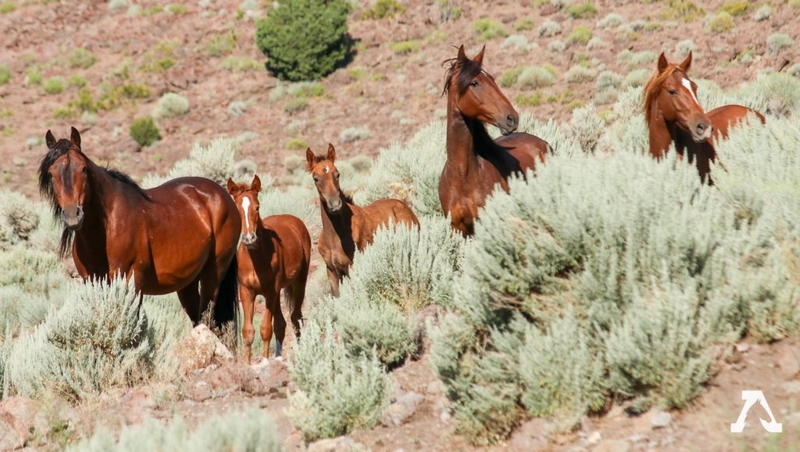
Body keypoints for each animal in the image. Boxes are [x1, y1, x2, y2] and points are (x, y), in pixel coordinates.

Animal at [39, 127, 240, 334]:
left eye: (83, 168)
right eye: (52, 173)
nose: (73, 215)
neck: (105, 230)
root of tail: (223, 195)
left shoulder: (132, 282)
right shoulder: (92, 282)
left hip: (213, 273)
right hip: (187, 282)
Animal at [226, 175, 311, 363]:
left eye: (257, 207)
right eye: (237, 209)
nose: (249, 238)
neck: (255, 259)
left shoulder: (270, 291)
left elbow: (265, 329)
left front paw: (265, 361)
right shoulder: (246, 292)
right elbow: (248, 331)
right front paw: (248, 364)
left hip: (298, 283)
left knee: (295, 317)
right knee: (282, 323)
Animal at [306, 144, 420, 297]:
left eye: (337, 174)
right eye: (315, 178)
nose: (335, 204)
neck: (336, 236)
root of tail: (404, 206)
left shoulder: (352, 268)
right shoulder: (332, 272)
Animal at [440, 45, 550, 237]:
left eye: (491, 79)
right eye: (474, 83)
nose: (512, 118)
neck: (462, 176)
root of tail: (542, 143)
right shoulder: (458, 229)